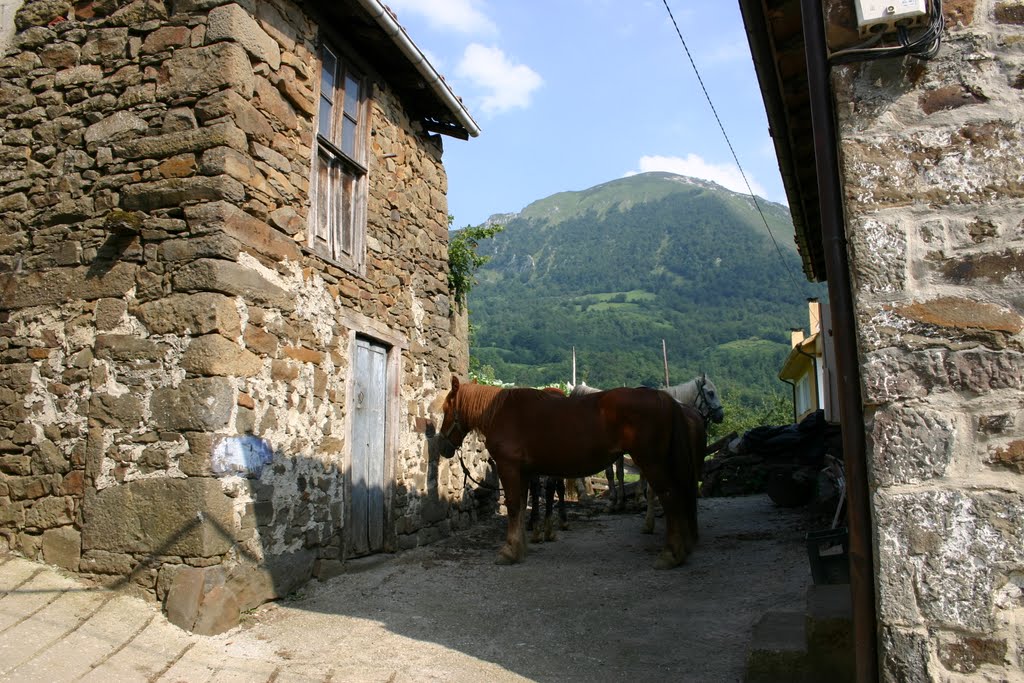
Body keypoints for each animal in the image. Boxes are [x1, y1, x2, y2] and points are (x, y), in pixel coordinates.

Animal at [432, 376, 704, 569]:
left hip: (653, 463)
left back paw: (670, 553)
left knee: (670, 497)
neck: (499, 411)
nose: (442, 446)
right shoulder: (523, 472)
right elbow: (522, 506)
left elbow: (513, 507)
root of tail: (665, 399)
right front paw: (521, 547)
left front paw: (508, 551)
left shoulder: (509, 468)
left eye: (446, 409)